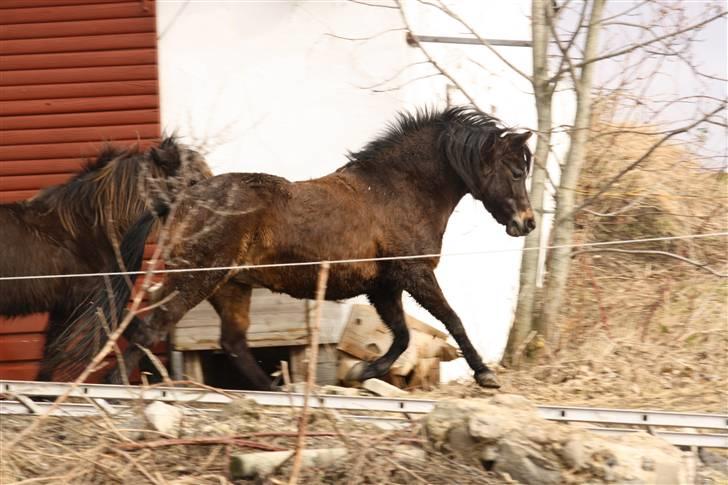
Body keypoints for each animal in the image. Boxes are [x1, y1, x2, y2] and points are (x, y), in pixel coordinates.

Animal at [0, 138, 210, 380]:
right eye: (193, 180)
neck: (88, 228)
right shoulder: (96, 299)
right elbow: (144, 335)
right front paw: (115, 378)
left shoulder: (64, 309)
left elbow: (50, 358)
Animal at [102, 107, 536, 390]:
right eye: (517, 171)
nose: (527, 223)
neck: (398, 190)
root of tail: (183, 199)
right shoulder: (415, 274)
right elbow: (452, 320)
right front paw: (485, 375)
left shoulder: (384, 286)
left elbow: (401, 336)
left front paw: (361, 374)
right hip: (196, 277)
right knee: (152, 325)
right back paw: (114, 386)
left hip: (231, 287)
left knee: (233, 343)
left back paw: (276, 392)